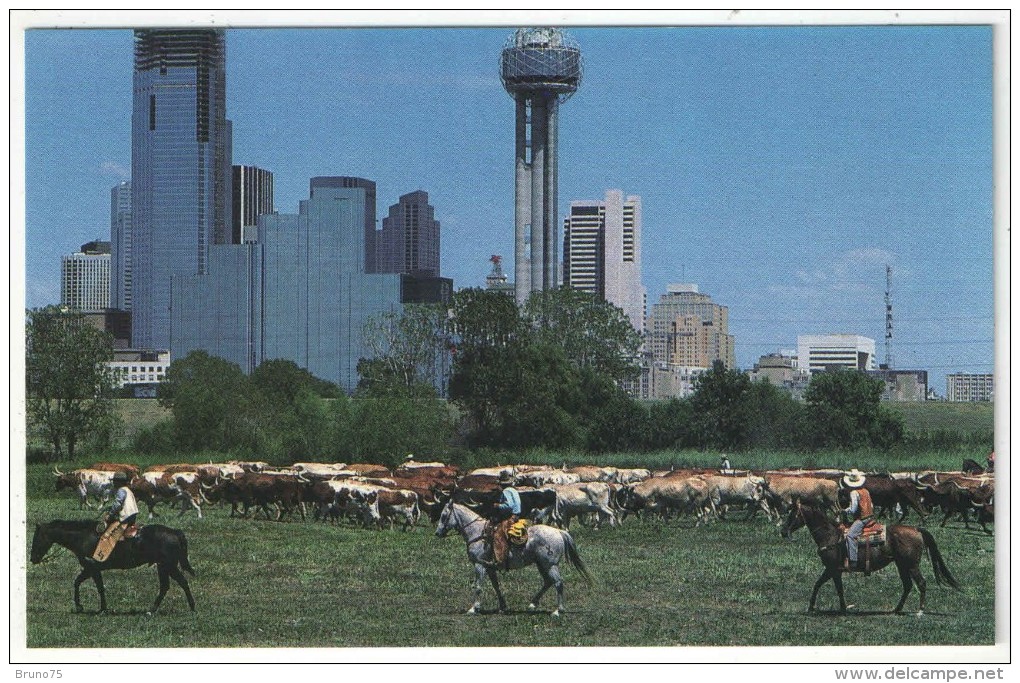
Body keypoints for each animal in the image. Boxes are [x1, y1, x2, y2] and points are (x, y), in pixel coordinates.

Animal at [30, 521, 195, 619]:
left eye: (37, 538)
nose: (33, 559)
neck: (84, 537)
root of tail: (175, 532)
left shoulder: (93, 568)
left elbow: (98, 587)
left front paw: (98, 609)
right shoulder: (89, 569)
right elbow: (78, 583)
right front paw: (83, 606)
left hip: (168, 566)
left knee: (180, 583)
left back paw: (188, 608)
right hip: (163, 567)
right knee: (168, 586)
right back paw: (154, 609)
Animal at [779, 499, 954, 619]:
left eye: (793, 514)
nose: (783, 531)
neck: (830, 536)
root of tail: (916, 529)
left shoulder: (832, 569)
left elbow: (822, 586)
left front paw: (813, 607)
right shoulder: (834, 571)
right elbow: (832, 587)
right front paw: (841, 608)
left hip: (911, 565)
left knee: (921, 583)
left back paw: (920, 611)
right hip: (901, 565)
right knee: (908, 585)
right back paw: (896, 609)